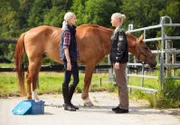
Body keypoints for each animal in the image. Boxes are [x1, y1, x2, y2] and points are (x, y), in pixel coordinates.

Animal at [14, 24, 157, 106]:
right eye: (145, 47)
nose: (154, 62)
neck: (99, 38)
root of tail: (27, 33)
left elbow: (87, 81)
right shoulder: (90, 63)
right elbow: (87, 81)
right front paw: (86, 100)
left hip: (39, 60)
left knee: (34, 77)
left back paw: (36, 98)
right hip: (34, 60)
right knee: (29, 77)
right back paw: (29, 98)